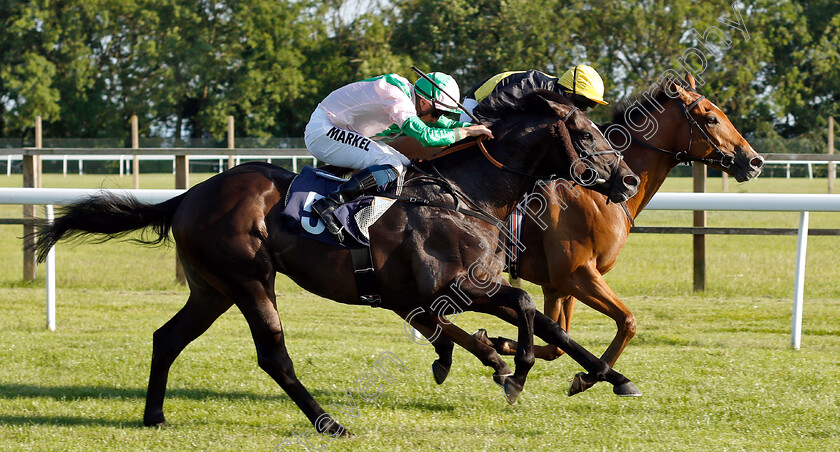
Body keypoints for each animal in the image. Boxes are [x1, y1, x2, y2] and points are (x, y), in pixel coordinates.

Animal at [31, 91, 636, 434]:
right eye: (586, 134)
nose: (628, 180)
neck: (466, 195)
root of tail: (187, 196)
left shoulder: (456, 290)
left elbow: (548, 324)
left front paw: (607, 376)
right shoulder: (449, 286)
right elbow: (526, 305)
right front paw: (512, 369)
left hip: (212, 288)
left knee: (167, 338)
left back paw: (154, 415)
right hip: (251, 281)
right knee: (274, 357)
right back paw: (329, 423)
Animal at [442, 72, 764, 394]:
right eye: (711, 118)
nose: (754, 161)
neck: (595, 193)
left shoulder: (558, 284)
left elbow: (557, 341)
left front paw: (500, 342)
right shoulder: (577, 274)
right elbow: (627, 321)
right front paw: (596, 378)